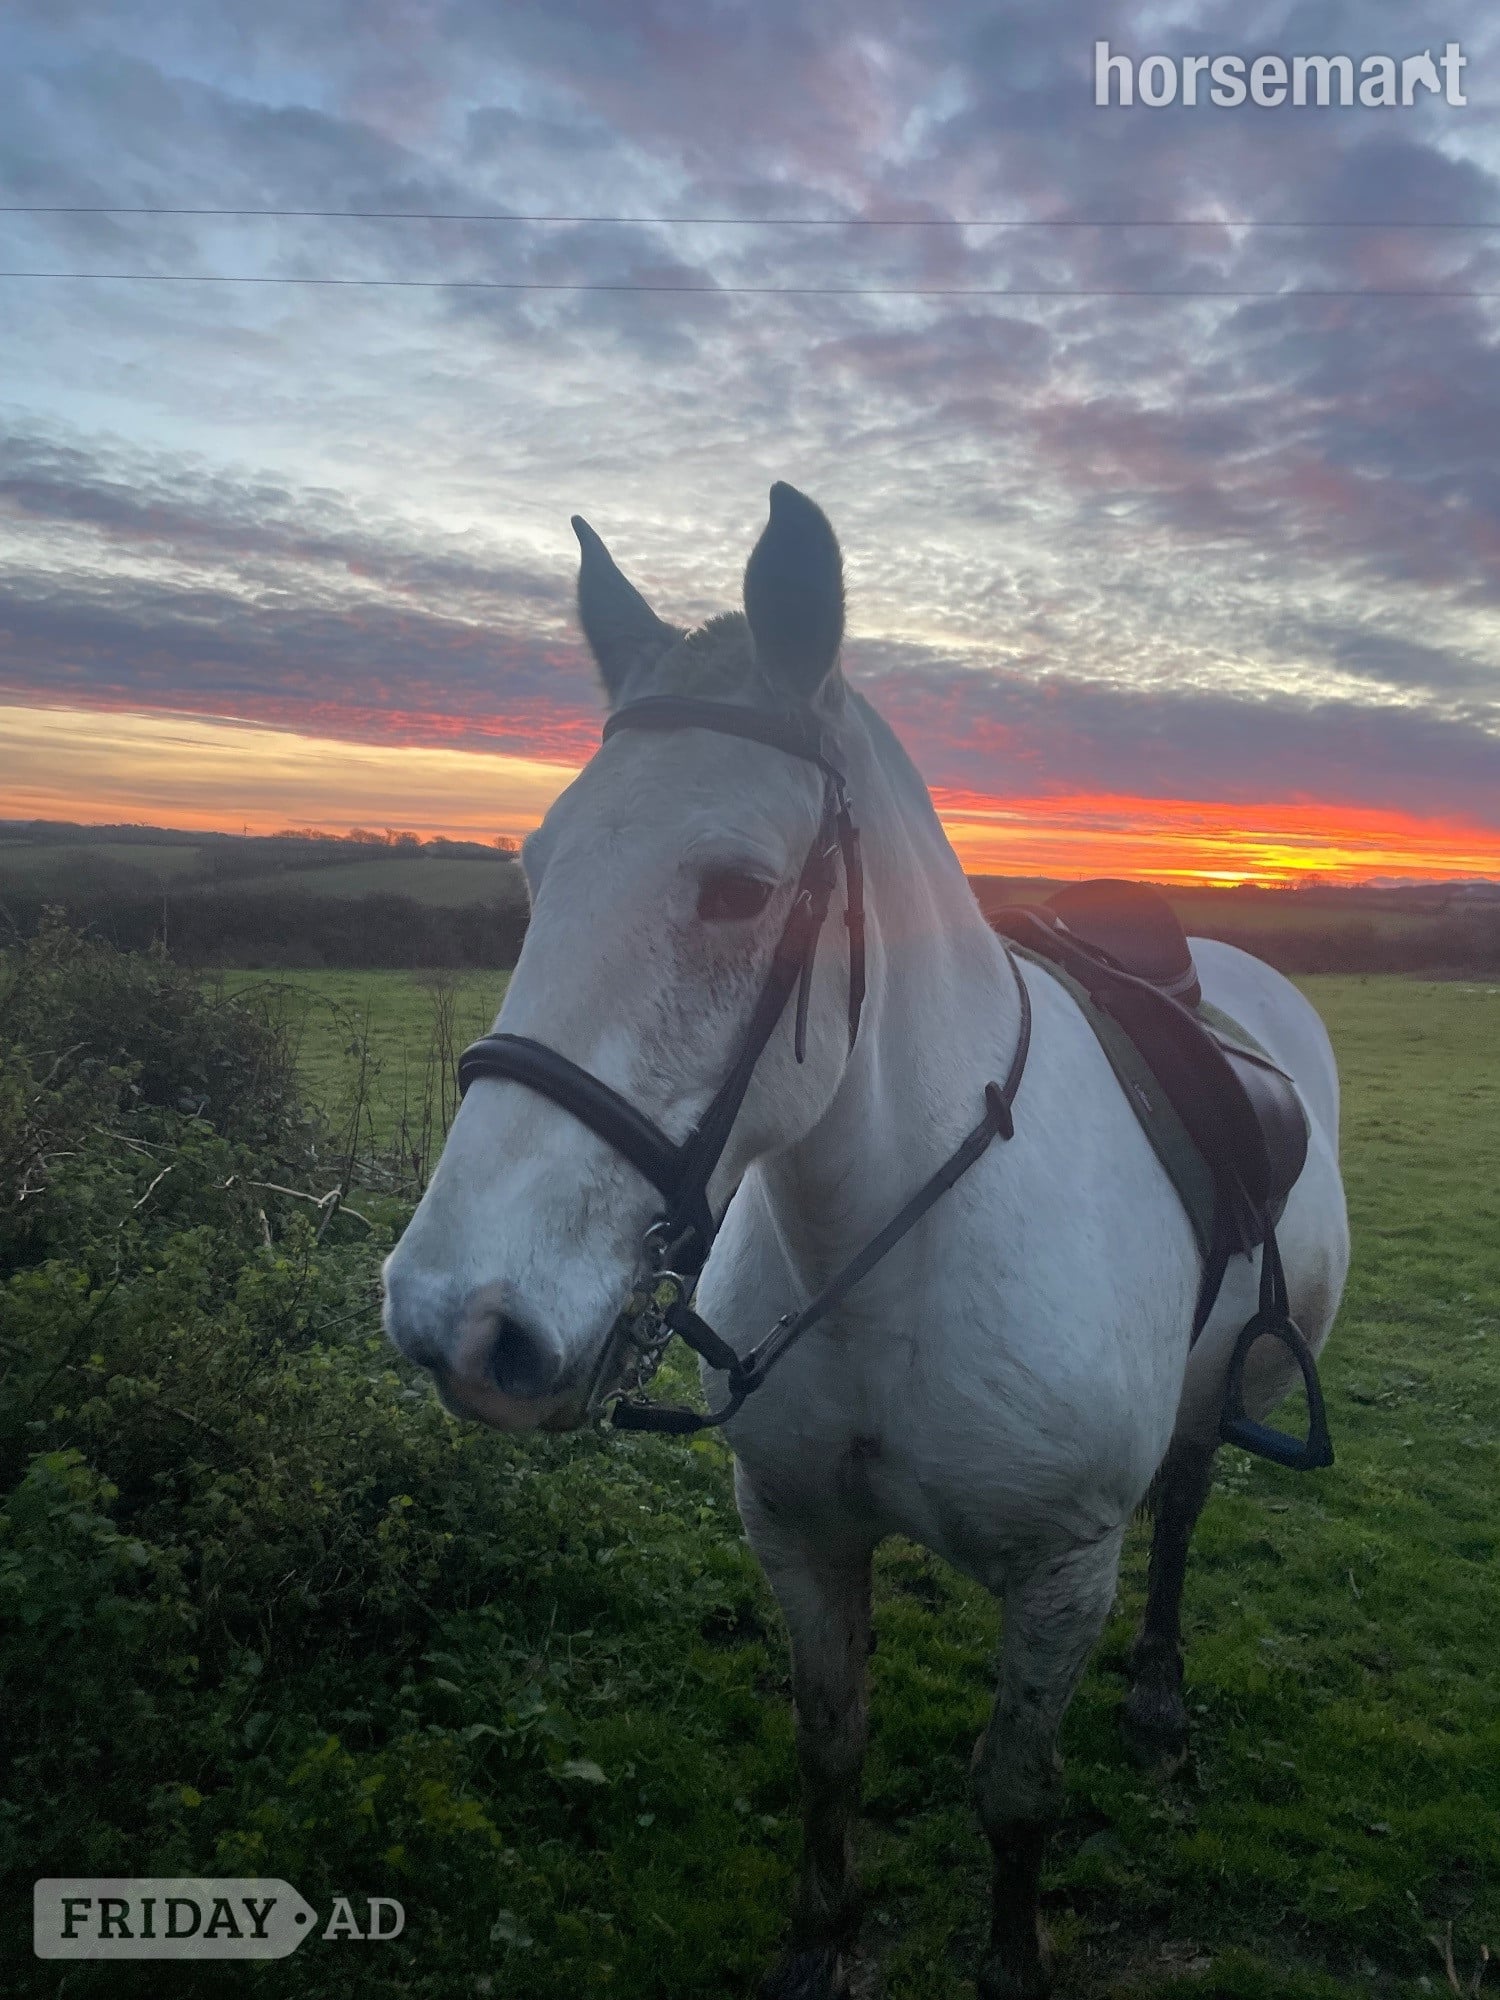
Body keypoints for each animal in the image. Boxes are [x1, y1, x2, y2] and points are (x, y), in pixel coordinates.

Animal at [382, 483, 1350, 1999]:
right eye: (537, 869)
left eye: (736, 889)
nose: (457, 1320)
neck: (898, 1244)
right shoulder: (797, 1532)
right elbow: (830, 1749)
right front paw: (818, 1946)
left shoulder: (1065, 1568)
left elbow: (1015, 1790)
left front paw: (1011, 1961)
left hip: (1218, 1400)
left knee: (1186, 1513)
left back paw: (1158, 1699)